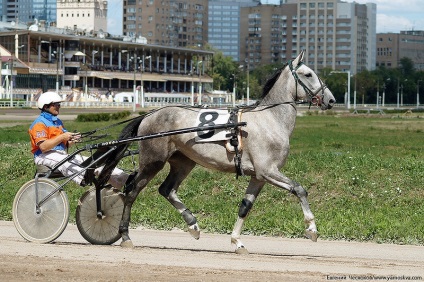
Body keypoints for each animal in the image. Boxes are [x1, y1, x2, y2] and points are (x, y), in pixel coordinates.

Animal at [105, 50, 334, 253]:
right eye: (308, 74)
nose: (331, 100)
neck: (270, 119)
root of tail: (148, 115)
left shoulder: (259, 176)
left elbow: (245, 206)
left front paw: (237, 242)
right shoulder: (268, 171)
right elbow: (299, 189)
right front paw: (312, 228)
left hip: (183, 162)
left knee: (166, 189)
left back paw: (193, 225)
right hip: (153, 161)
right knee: (131, 190)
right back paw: (125, 236)